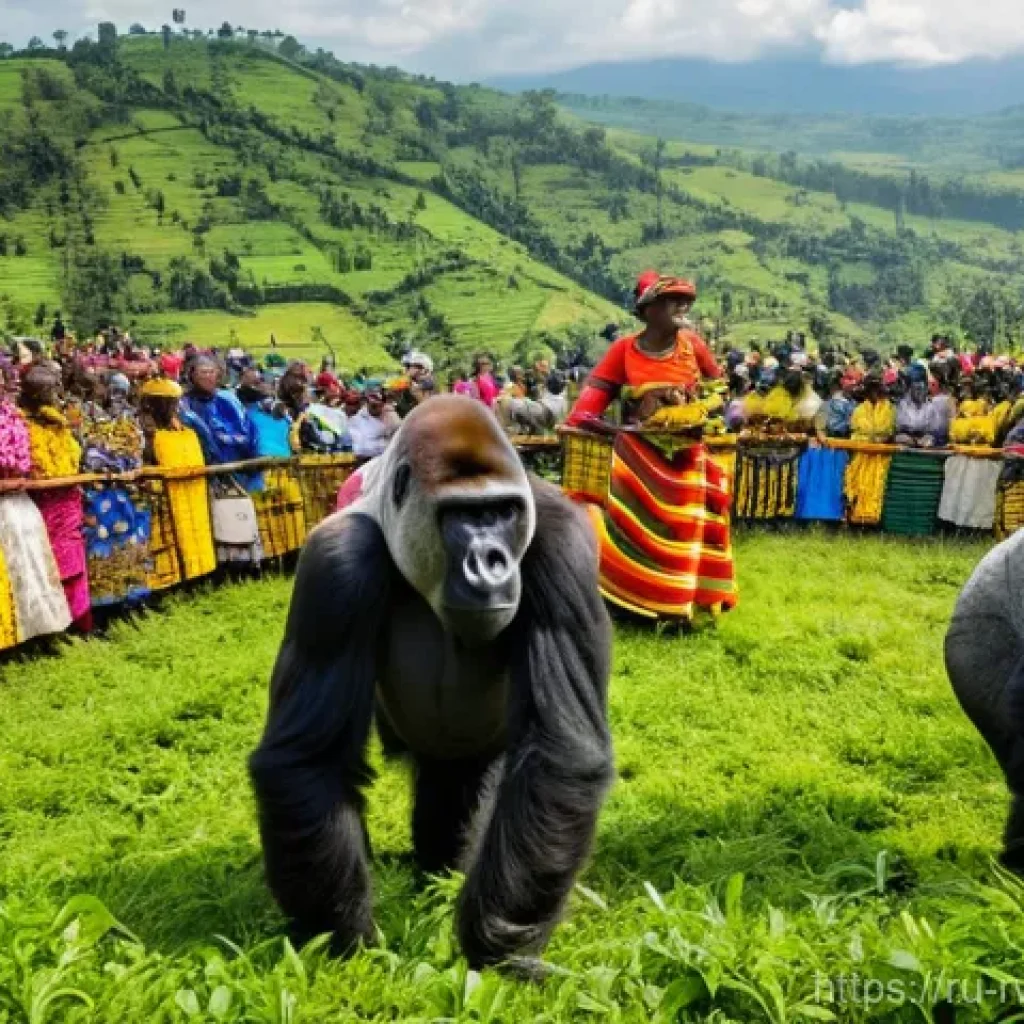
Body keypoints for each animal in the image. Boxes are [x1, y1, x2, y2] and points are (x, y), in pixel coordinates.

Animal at [248, 395, 614, 970]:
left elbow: (561, 749)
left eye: (503, 511)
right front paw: (344, 939)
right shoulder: (336, 564)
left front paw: (498, 945)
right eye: (460, 515)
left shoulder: (563, 542)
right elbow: (309, 759)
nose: (490, 562)